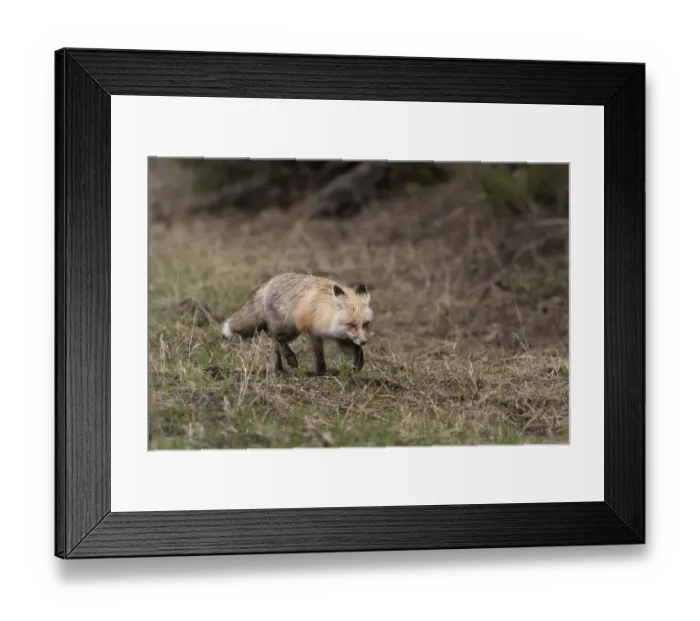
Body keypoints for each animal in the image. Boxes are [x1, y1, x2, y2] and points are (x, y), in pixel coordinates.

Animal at [221, 272, 373, 376]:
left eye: (365, 324)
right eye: (351, 324)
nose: (364, 341)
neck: (329, 316)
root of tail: (270, 281)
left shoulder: (342, 338)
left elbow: (357, 349)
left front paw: (358, 363)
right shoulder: (314, 332)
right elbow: (319, 355)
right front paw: (322, 373)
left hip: (290, 332)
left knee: (274, 344)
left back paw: (279, 369)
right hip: (289, 328)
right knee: (275, 337)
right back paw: (290, 359)